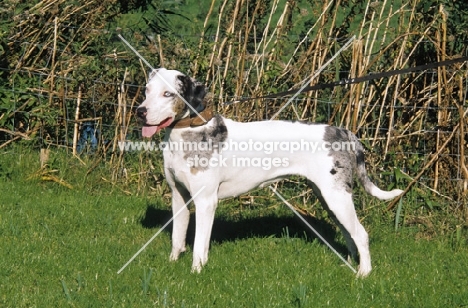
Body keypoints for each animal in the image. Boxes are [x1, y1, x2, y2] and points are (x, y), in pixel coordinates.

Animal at [135, 68, 402, 278]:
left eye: (168, 94)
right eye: (147, 90)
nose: (140, 111)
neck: (190, 132)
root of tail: (342, 132)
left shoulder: (205, 201)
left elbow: (200, 244)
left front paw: (196, 271)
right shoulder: (178, 196)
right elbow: (177, 237)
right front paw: (172, 263)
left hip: (337, 198)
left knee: (361, 234)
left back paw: (363, 273)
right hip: (330, 199)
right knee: (349, 233)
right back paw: (349, 263)